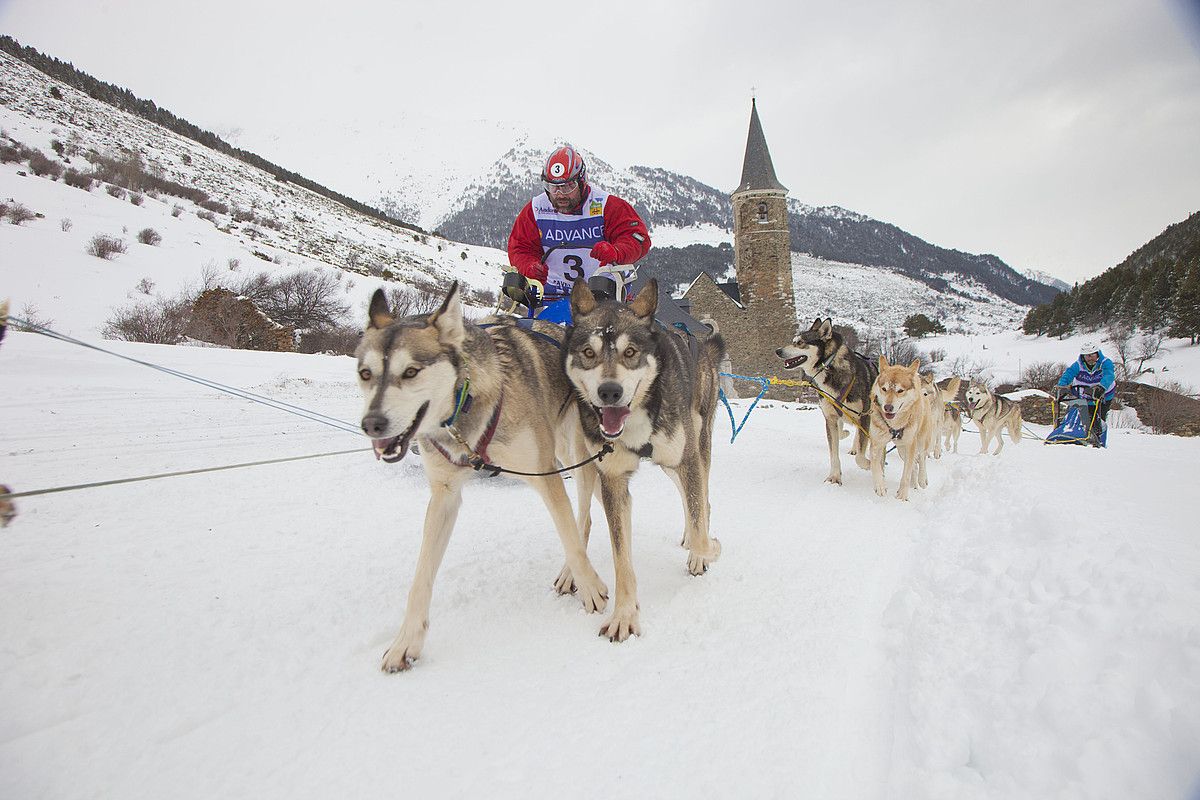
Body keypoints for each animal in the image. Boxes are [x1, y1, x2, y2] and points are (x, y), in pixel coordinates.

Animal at [350, 284, 604, 671]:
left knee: (583, 517)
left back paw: (569, 572)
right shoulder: (444, 496)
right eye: (366, 373)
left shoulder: (545, 475)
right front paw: (406, 641)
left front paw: (592, 589)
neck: (465, 406)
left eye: (411, 372)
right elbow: (421, 578)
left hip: (576, 455)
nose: (372, 424)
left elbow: (572, 542)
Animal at [559, 278, 720, 642]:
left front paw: (708, 550)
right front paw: (624, 615)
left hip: (695, 447)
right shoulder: (612, 480)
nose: (609, 392)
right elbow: (622, 560)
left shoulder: (686, 459)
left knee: (701, 496)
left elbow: (702, 533)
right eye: (588, 353)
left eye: (630, 352)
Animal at [772, 321, 878, 489]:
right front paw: (834, 477)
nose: (778, 351)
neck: (830, 368)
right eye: (793, 340)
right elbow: (834, 451)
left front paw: (868, 464)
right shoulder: (831, 417)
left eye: (800, 343)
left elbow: (861, 456)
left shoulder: (864, 416)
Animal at [873, 357, 936, 501]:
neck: (894, 425)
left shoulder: (910, 444)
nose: (888, 407)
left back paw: (922, 480)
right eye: (884, 389)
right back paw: (914, 484)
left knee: (922, 458)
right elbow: (876, 465)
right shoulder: (877, 443)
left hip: (920, 441)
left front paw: (902, 495)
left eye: (900, 390)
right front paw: (880, 487)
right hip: (901, 449)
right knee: (914, 465)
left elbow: (906, 474)